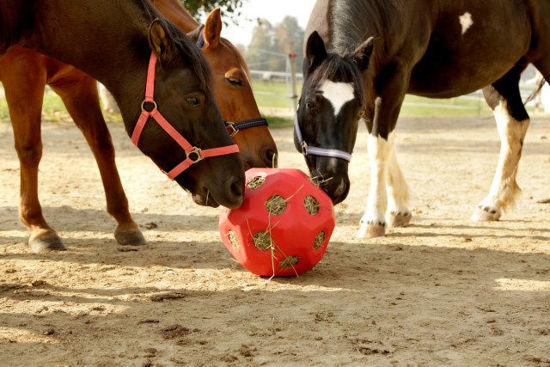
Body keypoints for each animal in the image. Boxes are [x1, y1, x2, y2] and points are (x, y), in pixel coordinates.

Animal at [0, 0, 246, 253]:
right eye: (194, 99)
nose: (237, 185)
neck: (35, 11)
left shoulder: (74, 82)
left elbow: (102, 143)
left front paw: (125, 224)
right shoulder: (22, 71)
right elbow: (30, 148)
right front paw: (39, 227)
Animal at [298, 0, 550, 239]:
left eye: (357, 111)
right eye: (310, 104)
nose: (335, 185)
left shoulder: (394, 81)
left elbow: (379, 147)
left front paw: (373, 221)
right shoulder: (371, 87)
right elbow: (384, 142)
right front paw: (399, 211)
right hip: (502, 76)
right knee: (514, 126)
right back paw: (492, 205)